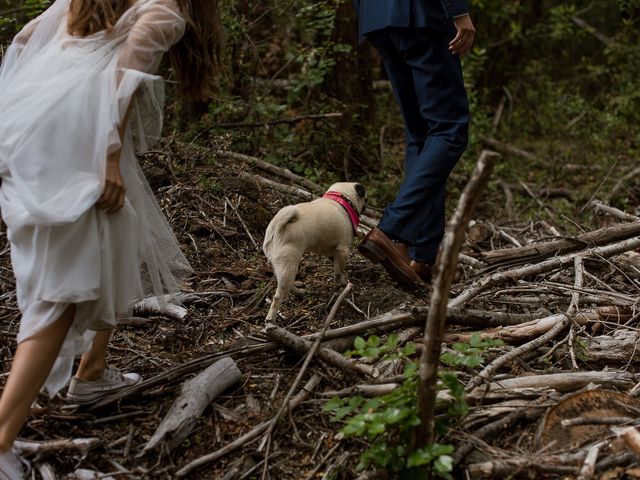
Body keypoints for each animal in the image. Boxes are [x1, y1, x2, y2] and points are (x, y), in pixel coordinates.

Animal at [264, 182, 364, 320]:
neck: (342, 199)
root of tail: (278, 225)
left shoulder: (332, 253)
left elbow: (337, 269)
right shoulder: (343, 251)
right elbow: (339, 272)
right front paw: (341, 285)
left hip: (280, 265)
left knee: (285, 284)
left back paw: (300, 292)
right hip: (289, 265)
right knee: (278, 297)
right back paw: (271, 320)